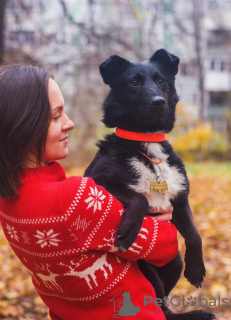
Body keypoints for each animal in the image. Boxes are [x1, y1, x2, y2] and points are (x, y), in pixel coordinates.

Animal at [84, 48, 216, 318]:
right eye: (134, 82)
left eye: (161, 80)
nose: (158, 102)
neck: (146, 143)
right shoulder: (95, 182)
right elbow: (140, 197)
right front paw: (127, 232)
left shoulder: (179, 199)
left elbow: (194, 234)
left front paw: (197, 269)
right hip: (147, 270)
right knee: (160, 306)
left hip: (174, 260)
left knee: (165, 304)